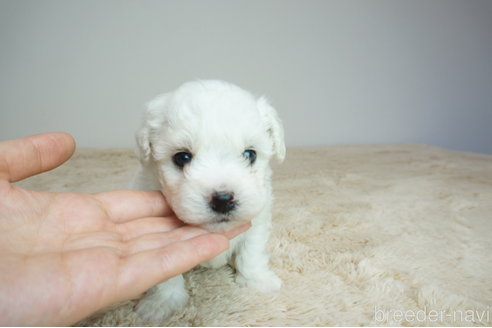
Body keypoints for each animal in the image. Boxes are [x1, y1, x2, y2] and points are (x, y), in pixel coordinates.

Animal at [129, 80, 286, 322]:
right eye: (182, 158)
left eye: (250, 154)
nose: (223, 199)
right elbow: (167, 275)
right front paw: (163, 304)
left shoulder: (257, 220)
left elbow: (250, 253)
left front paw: (257, 282)